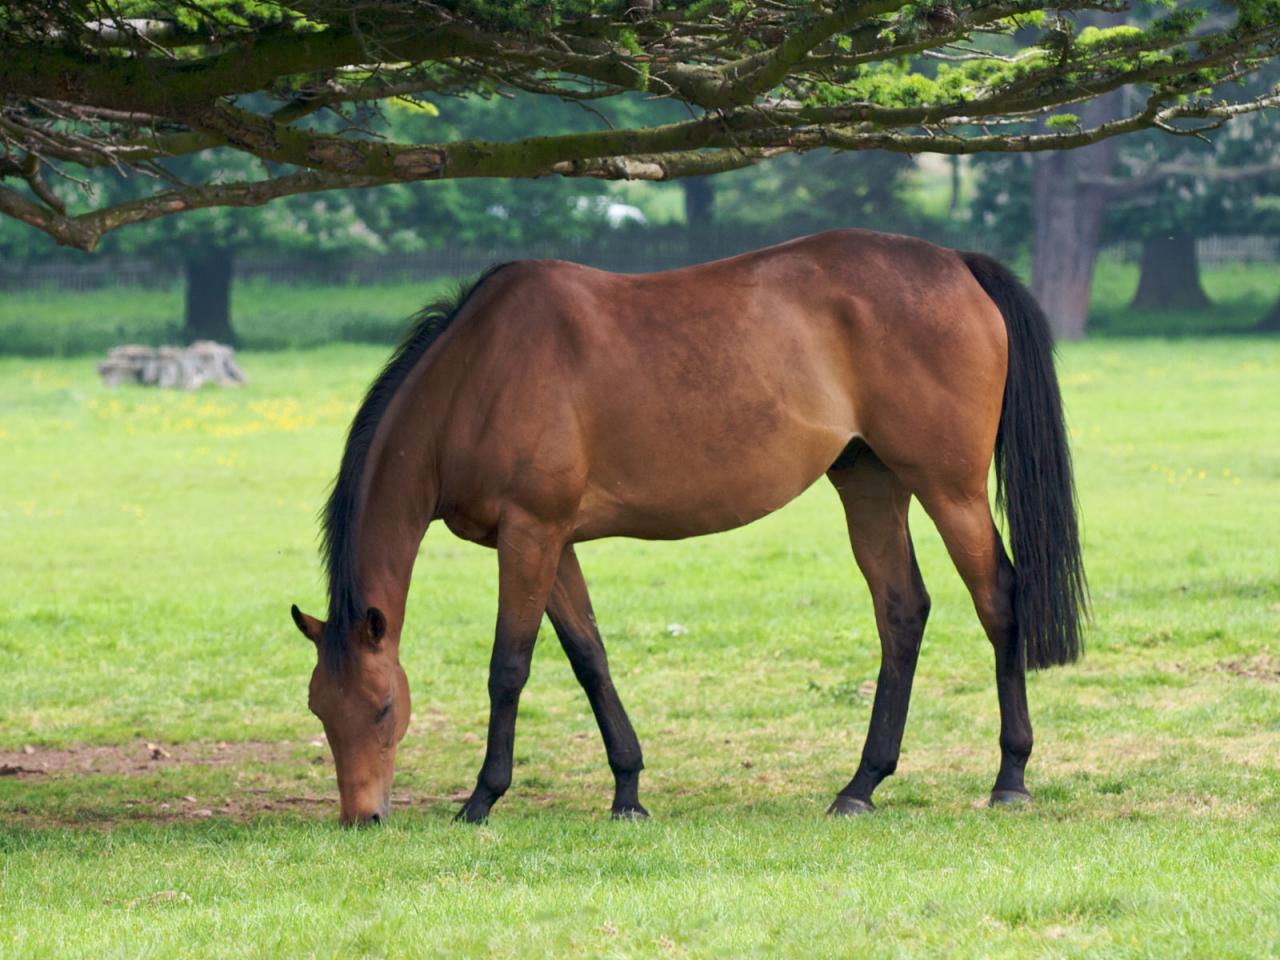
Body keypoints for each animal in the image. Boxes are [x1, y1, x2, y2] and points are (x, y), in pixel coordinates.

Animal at [293, 231, 1090, 829]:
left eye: (384, 708)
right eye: (319, 710)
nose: (362, 818)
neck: (477, 375)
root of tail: (956, 262)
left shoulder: (530, 535)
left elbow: (509, 667)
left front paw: (482, 799)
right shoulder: (553, 543)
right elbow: (589, 657)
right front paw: (627, 791)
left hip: (949, 489)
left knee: (999, 601)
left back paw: (1010, 777)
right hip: (870, 483)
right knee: (902, 612)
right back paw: (861, 785)